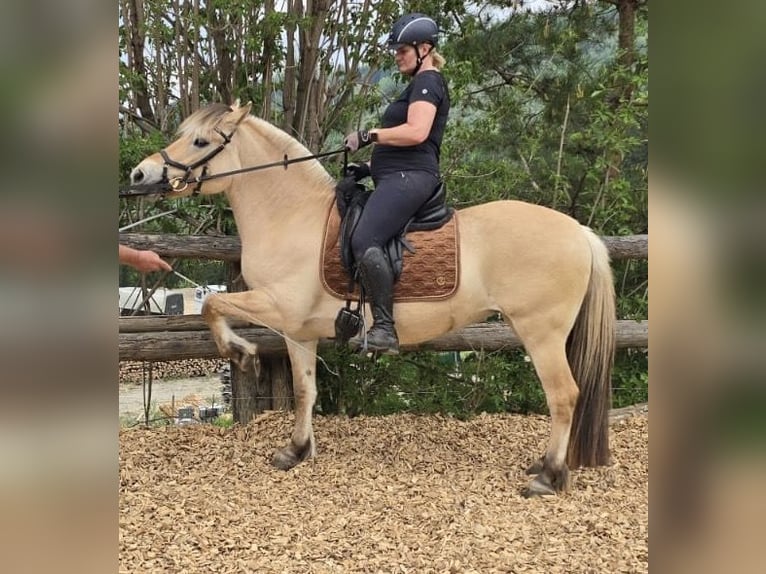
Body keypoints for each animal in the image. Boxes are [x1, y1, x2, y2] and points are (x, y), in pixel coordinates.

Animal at [129, 101, 616, 497]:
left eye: (200, 140)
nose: (140, 174)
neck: (292, 217)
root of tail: (579, 232)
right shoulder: (298, 331)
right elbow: (305, 390)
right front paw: (296, 450)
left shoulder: (278, 306)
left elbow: (213, 306)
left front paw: (242, 352)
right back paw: (546, 466)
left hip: (541, 333)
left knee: (563, 396)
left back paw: (548, 477)